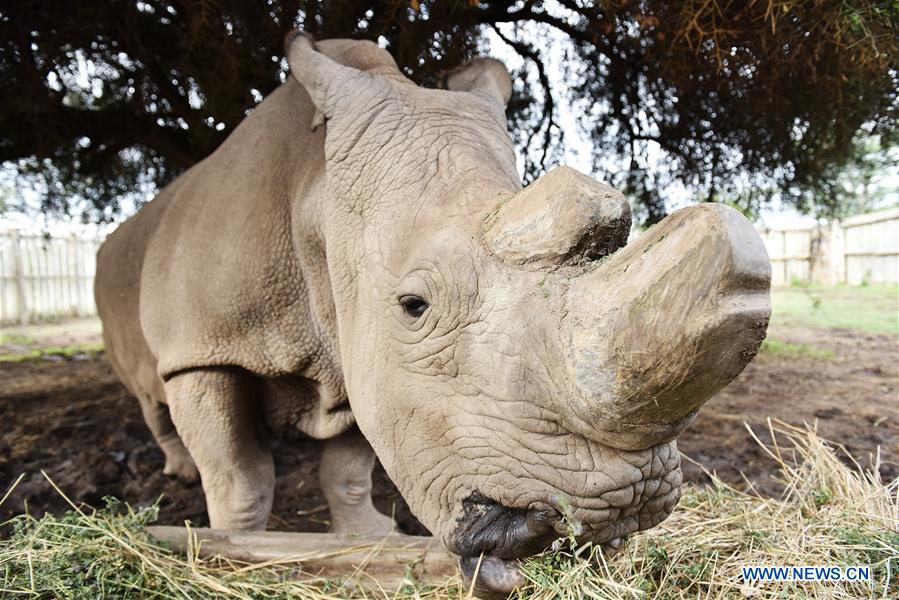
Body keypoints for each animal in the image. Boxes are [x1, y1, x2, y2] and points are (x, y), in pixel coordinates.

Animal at [94, 32, 770, 597]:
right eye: (414, 306)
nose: (624, 506)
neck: (315, 196)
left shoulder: (355, 343)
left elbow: (350, 461)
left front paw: (369, 538)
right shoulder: (202, 349)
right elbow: (239, 476)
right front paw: (240, 549)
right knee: (151, 392)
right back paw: (179, 472)